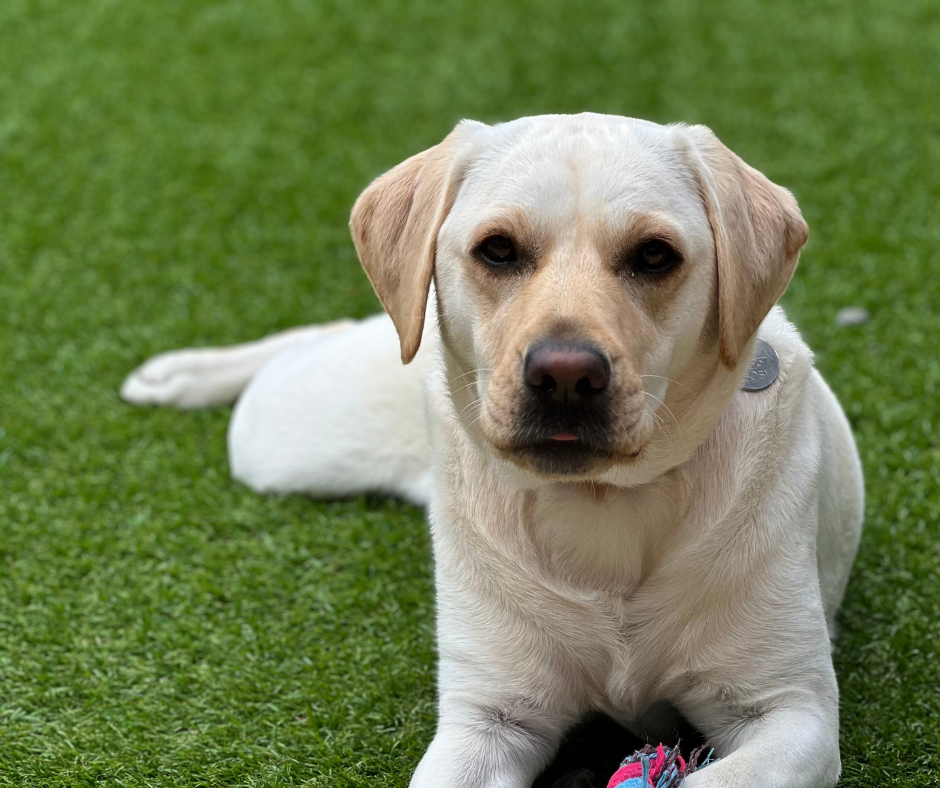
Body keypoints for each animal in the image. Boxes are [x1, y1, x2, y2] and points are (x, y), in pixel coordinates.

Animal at [125, 114, 868, 784]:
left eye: (655, 255)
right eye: (499, 250)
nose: (565, 376)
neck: (600, 507)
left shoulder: (790, 711)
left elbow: (712, 779)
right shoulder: (488, 717)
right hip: (287, 439)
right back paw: (181, 375)